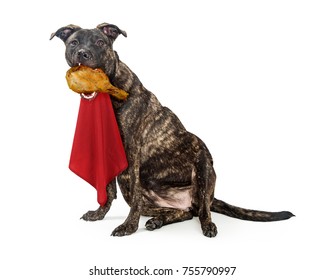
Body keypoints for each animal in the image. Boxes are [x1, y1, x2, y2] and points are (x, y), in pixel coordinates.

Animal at [51, 23, 294, 237]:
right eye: (73, 43)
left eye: (100, 42)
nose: (83, 54)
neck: (107, 93)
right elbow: (108, 191)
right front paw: (99, 214)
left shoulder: (131, 153)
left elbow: (130, 200)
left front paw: (128, 227)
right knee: (182, 212)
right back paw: (158, 220)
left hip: (203, 165)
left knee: (202, 211)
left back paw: (207, 225)